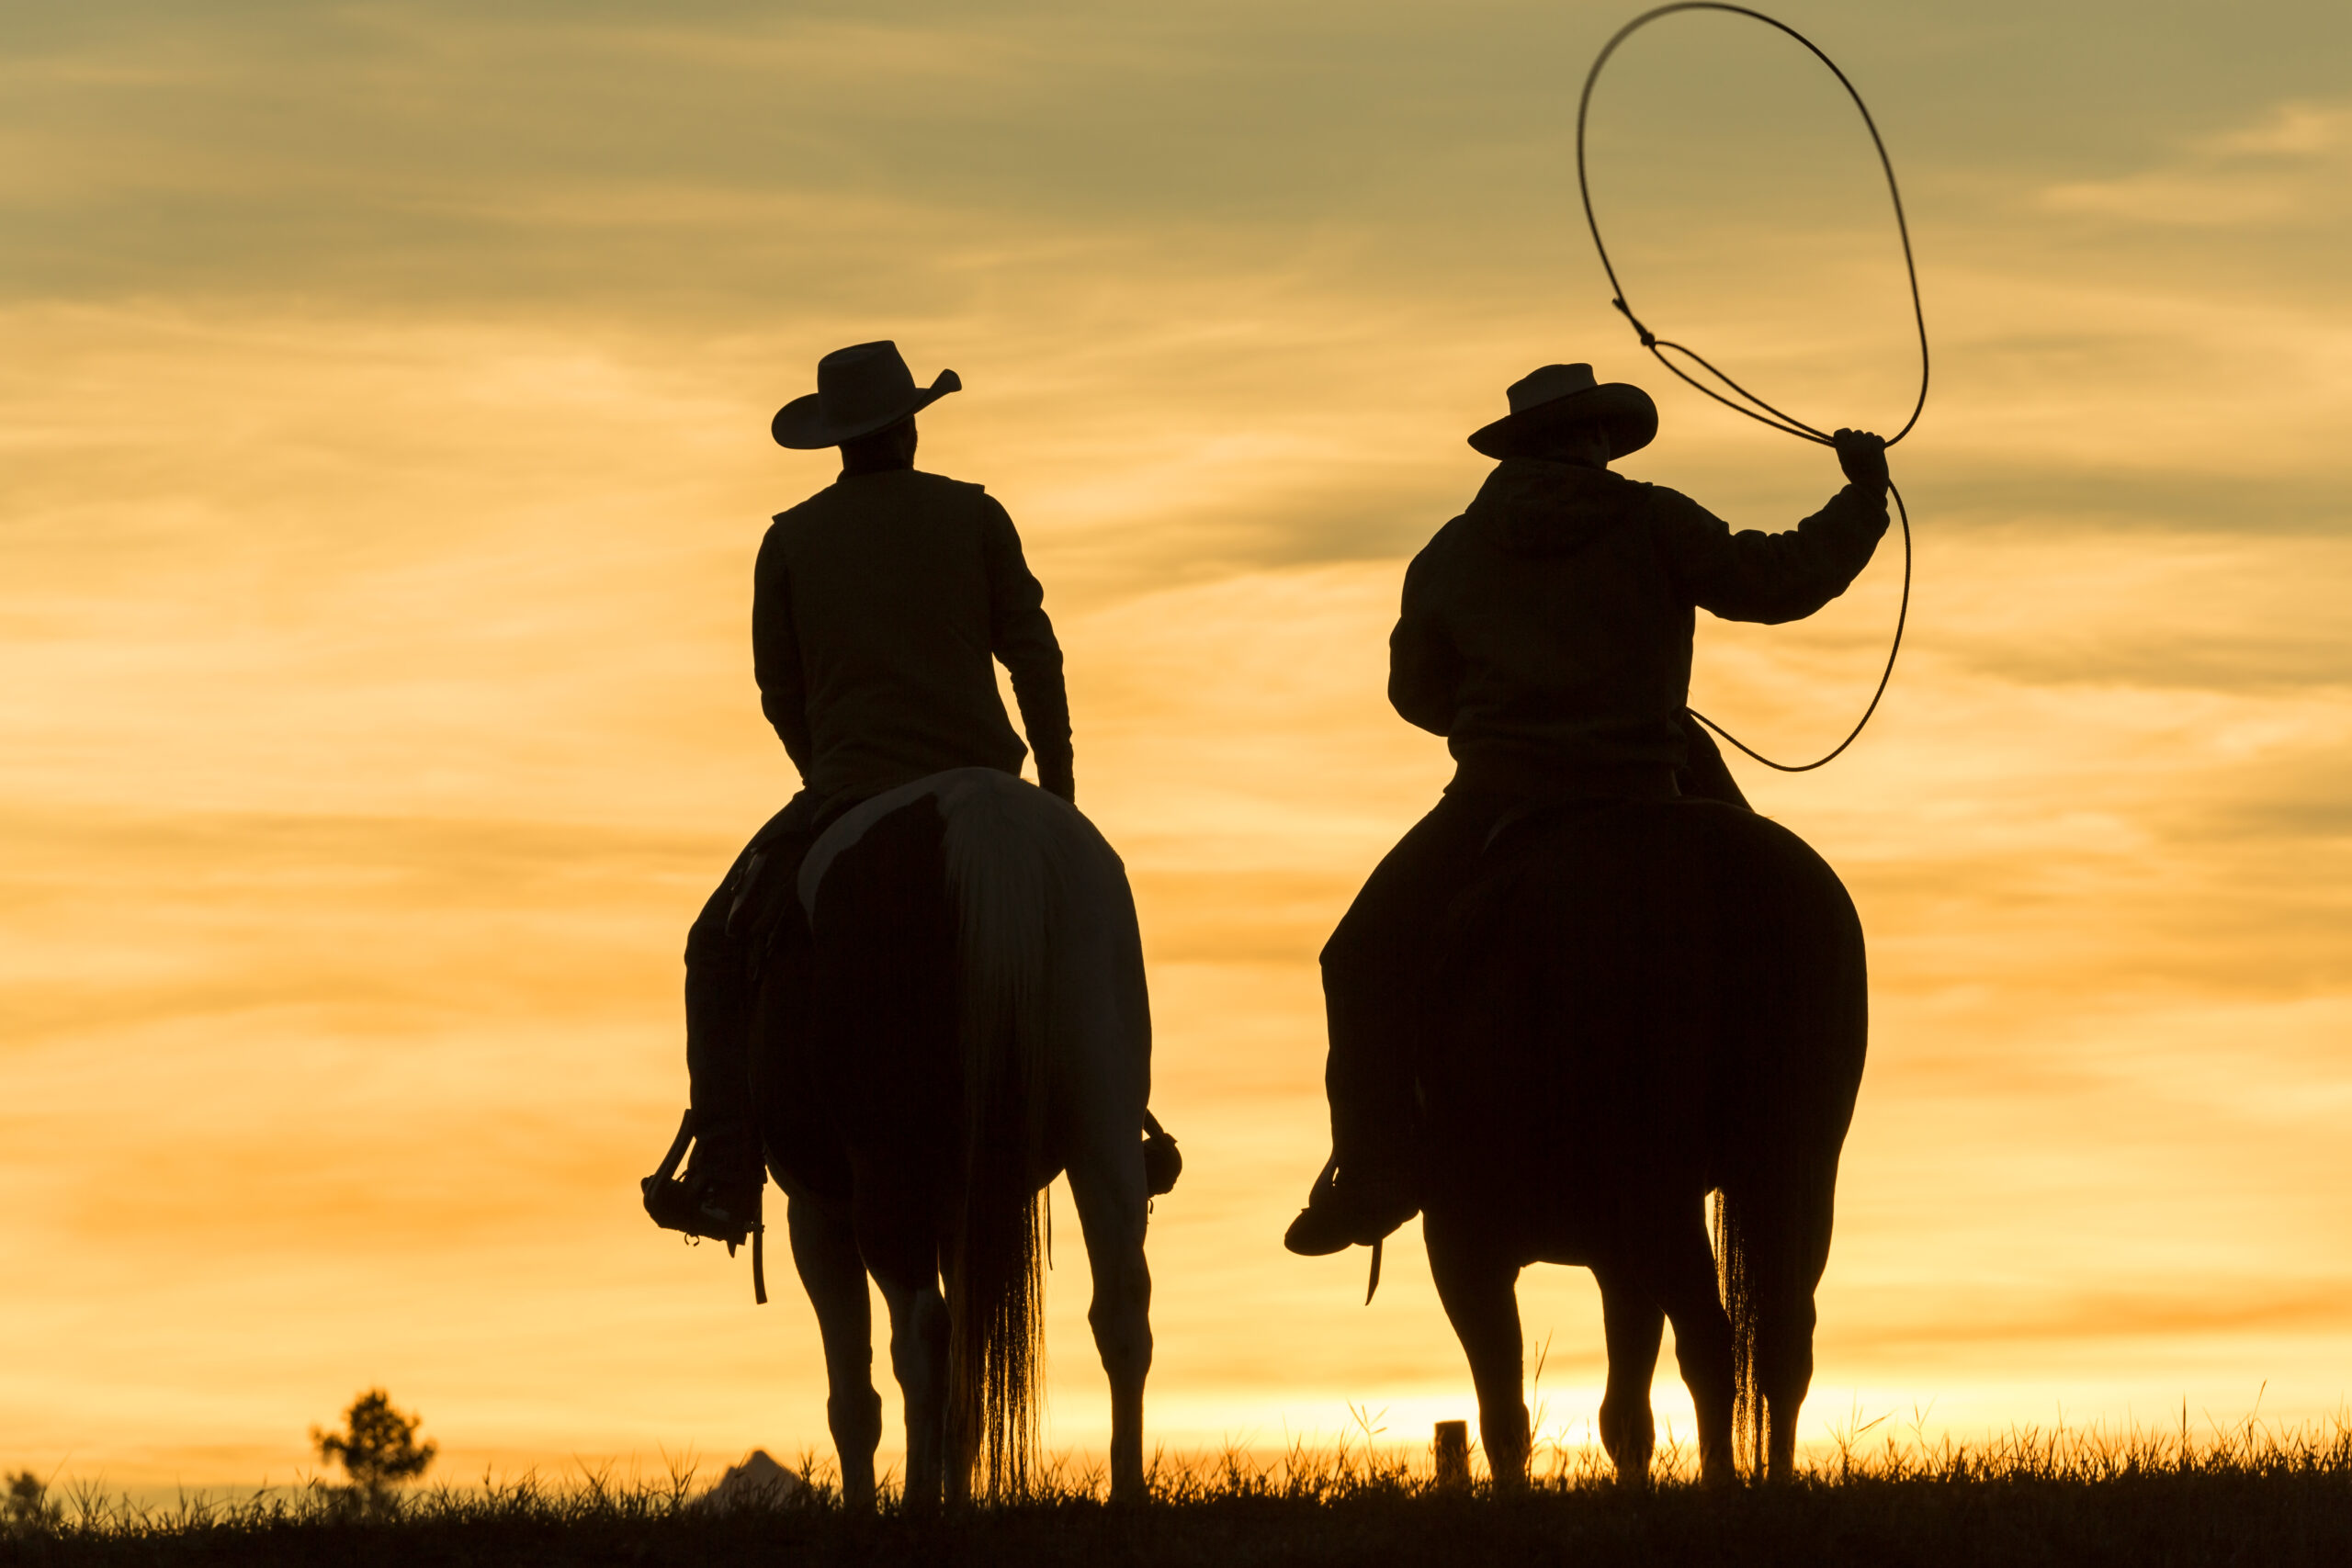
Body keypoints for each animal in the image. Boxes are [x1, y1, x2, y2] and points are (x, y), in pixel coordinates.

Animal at [752, 771, 1157, 1504]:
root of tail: (982, 815)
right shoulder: (961, 1214)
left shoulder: (817, 1216)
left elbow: (854, 1400)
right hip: (1103, 1129)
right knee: (1121, 1309)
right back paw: (1127, 1495)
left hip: (886, 1178)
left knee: (921, 1336)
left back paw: (917, 1505)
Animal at [1411, 804, 1871, 1495]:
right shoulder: (1615, 1261)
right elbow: (1625, 1411)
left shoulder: (1462, 1241)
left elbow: (1504, 1404)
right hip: (1798, 1174)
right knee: (1783, 1338)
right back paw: (1774, 1479)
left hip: (1660, 1190)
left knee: (1711, 1339)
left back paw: (1721, 1482)